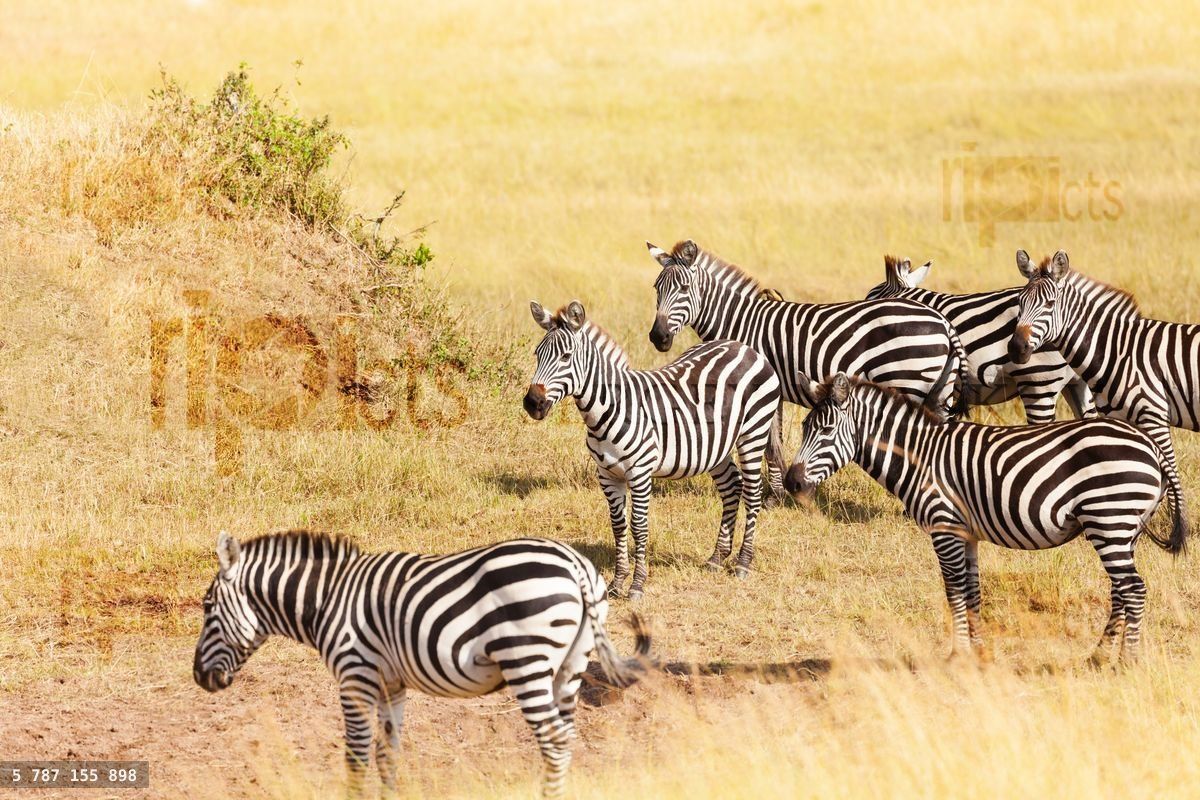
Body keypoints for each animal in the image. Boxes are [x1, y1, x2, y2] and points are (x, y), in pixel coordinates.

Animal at [193, 531, 650, 798]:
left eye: (207, 606)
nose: (199, 677)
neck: (328, 600)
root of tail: (574, 564)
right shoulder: (390, 684)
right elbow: (387, 753)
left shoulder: (355, 676)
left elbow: (356, 755)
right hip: (571, 667)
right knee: (566, 737)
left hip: (526, 661)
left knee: (553, 739)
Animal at [524, 300, 783, 597]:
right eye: (537, 354)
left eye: (566, 357)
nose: (532, 403)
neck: (611, 407)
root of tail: (745, 348)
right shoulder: (607, 475)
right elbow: (618, 525)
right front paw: (617, 583)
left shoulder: (640, 472)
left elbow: (638, 526)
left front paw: (637, 584)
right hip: (716, 446)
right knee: (732, 486)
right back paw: (717, 557)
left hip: (753, 433)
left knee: (752, 493)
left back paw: (743, 563)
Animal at [645, 239, 971, 497]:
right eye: (656, 288)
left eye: (684, 288)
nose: (658, 337)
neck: (740, 320)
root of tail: (941, 321)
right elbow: (772, 443)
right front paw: (777, 491)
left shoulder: (758, 387)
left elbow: (768, 444)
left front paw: (774, 495)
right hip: (938, 389)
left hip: (910, 381)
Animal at [782, 372, 1186, 664]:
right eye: (803, 428)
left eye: (826, 430)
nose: (791, 482)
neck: (921, 456)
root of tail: (1149, 444)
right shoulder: (966, 533)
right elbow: (973, 591)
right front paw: (978, 652)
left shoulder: (944, 526)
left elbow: (953, 591)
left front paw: (957, 654)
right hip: (1123, 528)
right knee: (1121, 590)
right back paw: (1099, 656)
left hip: (1110, 518)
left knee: (1133, 589)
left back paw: (1127, 662)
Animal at [1009, 249, 1197, 544]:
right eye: (1019, 302)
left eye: (1050, 304)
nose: (1016, 348)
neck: (1117, 350)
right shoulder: (1122, 419)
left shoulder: (1153, 414)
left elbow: (1171, 475)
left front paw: (1177, 530)